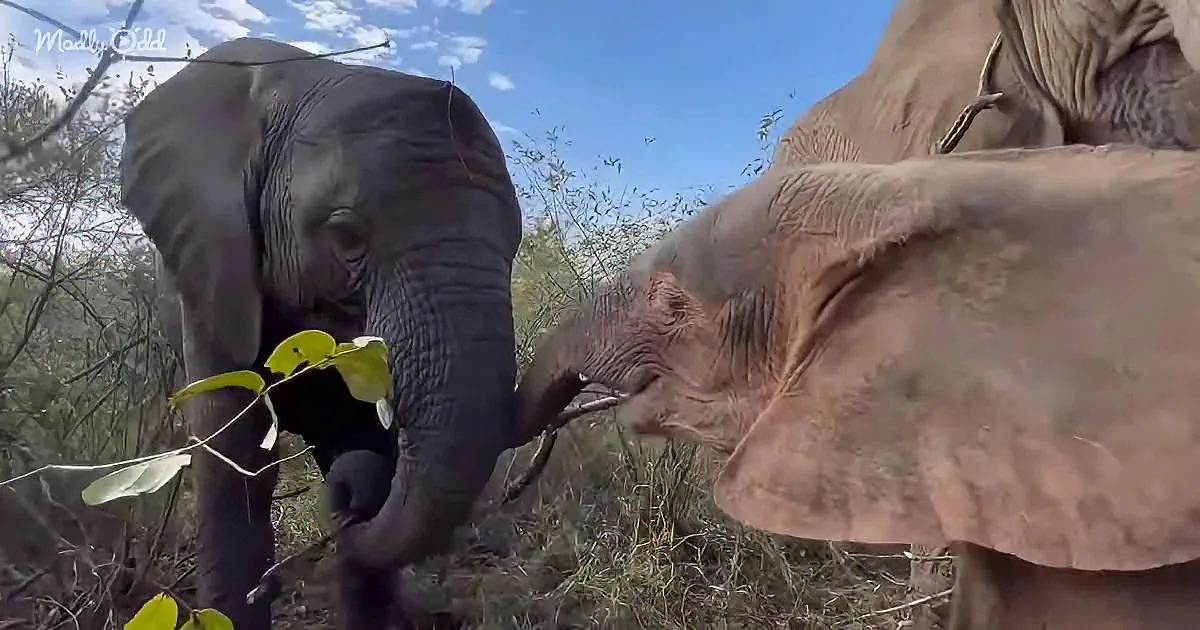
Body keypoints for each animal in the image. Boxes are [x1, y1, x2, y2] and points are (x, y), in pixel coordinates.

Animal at [122, 38, 522, 630]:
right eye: (346, 235)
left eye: (514, 244)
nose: (348, 503)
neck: (302, 82)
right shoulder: (213, 271)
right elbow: (234, 459)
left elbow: (362, 437)